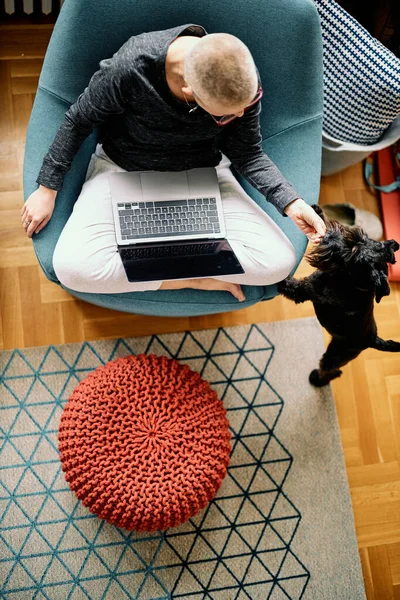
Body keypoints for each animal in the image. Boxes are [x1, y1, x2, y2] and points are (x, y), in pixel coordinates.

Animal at [278, 204, 400, 386]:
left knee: (328, 370)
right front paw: (317, 212)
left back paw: (317, 379)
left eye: (353, 250)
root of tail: (373, 340)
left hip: (336, 355)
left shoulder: (305, 290)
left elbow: (289, 285)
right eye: (357, 237)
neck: (348, 280)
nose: (328, 236)